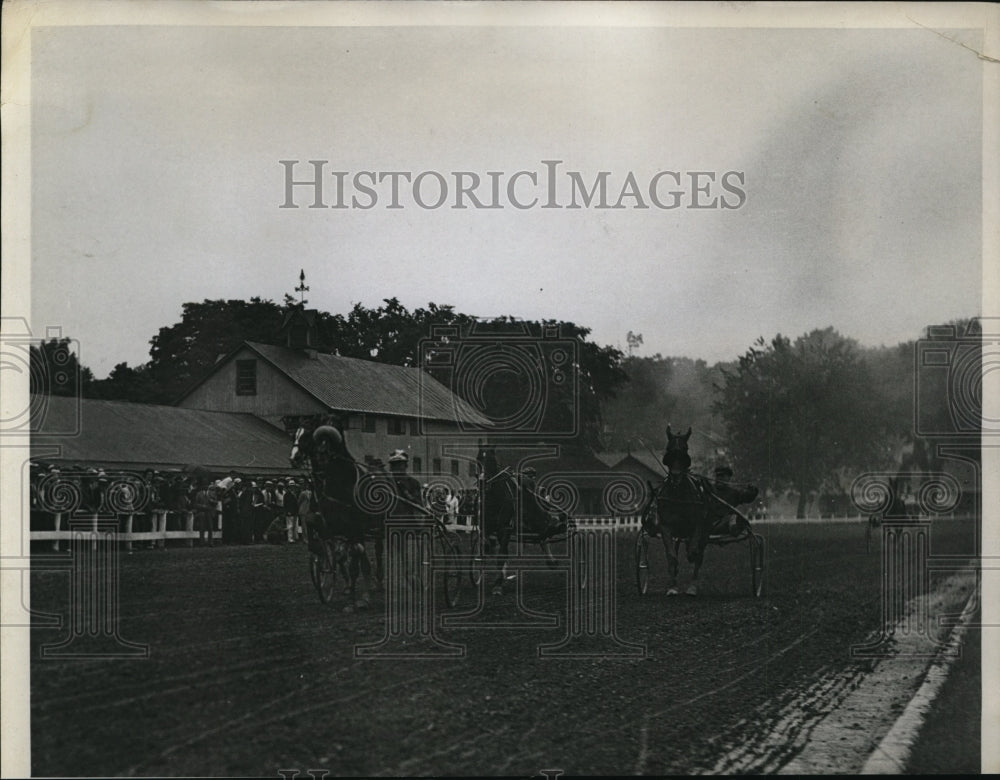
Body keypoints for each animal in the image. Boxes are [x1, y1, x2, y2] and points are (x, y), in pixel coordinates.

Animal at [288, 420, 388, 608]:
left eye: (308, 435)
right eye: (295, 435)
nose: (294, 458)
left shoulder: (354, 527)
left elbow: (354, 559)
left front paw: (359, 599)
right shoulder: (328, 523)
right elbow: (334, 551)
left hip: (377, 525)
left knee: (376, 551)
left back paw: (377, 582)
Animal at [472, 444, 568, 596]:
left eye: (492, 459)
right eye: (478, 458)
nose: (482, 482)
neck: (494, 498)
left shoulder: (505, 528)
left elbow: (501, 556)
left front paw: (498, 585)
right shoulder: (484, 527)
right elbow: (486, 546)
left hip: (535, 518)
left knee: (544, 534)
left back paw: (552, 557)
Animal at [644, 426, 760, 596]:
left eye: (685, 448)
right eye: (669, 448)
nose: (676, 475)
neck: (678, 494)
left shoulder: (698, 525)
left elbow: (694, 553)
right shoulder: (666, 526)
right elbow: (672, 556)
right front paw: (672, 586)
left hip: (706, 530)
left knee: (699, 554)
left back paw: (692, 586)